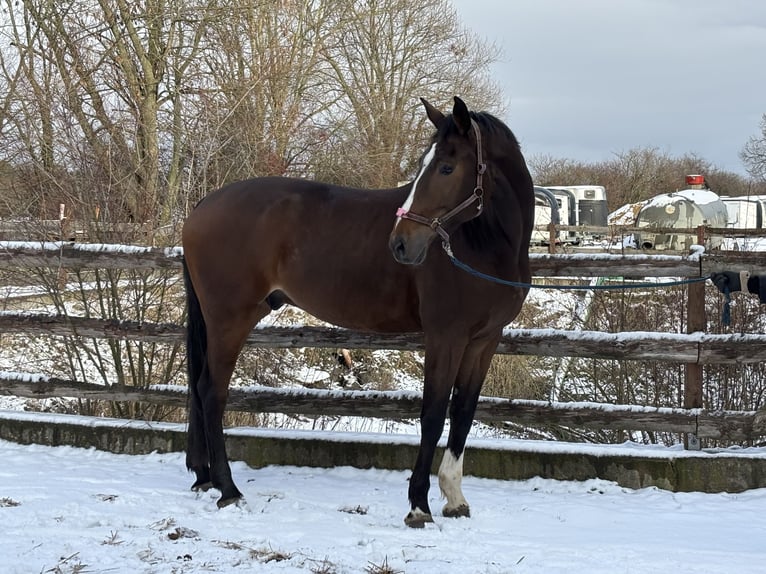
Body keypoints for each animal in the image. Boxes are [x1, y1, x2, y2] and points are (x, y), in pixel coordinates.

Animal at [181, 96, 534, 527]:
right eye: (427, 165)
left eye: (447, 167)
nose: (400, 245)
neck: (486, 243)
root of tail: (204, 204)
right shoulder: (445, 337)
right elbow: (433, 415)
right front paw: (419, 505)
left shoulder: (484, 341)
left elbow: (464, 412)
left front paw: (455, 499)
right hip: (230, 320)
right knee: (211, 392)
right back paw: (229, 490)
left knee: (200, 390)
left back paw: (205, 478)